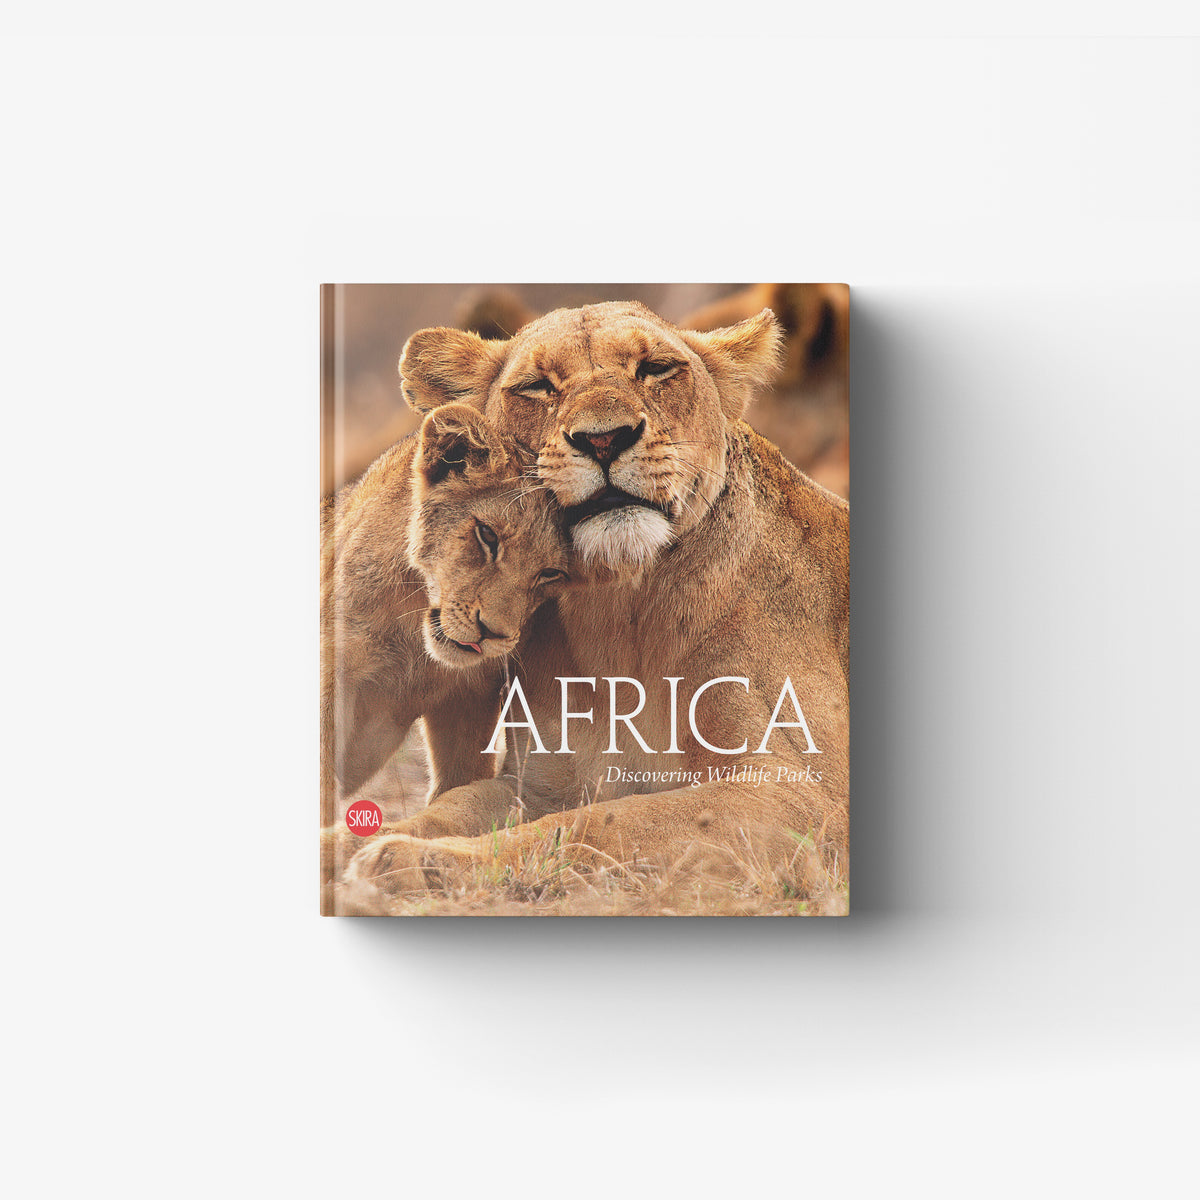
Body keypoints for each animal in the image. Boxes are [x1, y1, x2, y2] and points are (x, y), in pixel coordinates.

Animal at [320, 402, 570, 844]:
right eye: (487, 535)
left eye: (550, 573)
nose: (493, 633)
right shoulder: (331, 672)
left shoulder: (470, 696)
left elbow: (460, 782)